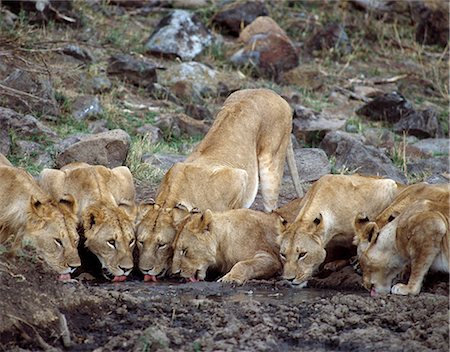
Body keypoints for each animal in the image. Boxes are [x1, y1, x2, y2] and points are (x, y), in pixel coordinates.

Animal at [136, 88, 302, 280]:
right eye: (141, 242)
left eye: (161, 244)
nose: (145, 270)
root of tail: (272, 92)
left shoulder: (239, 178)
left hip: (271, 166)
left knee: (272, 209)